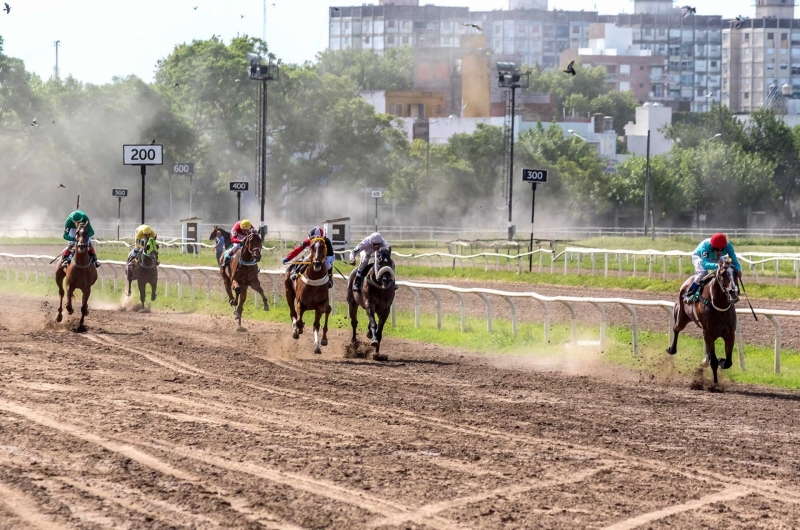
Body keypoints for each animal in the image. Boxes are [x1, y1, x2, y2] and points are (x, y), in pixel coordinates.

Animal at [664, 256, 740, 384]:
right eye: (722, 274)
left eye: (736, 273)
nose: (734, 292)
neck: (719, 306)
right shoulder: (708, 333)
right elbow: (714, 362)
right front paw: (715, 383)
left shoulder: (730, 334)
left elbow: (728, 362)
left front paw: (721, 361)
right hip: (681, 317)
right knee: (676, 329)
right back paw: (672, 349)